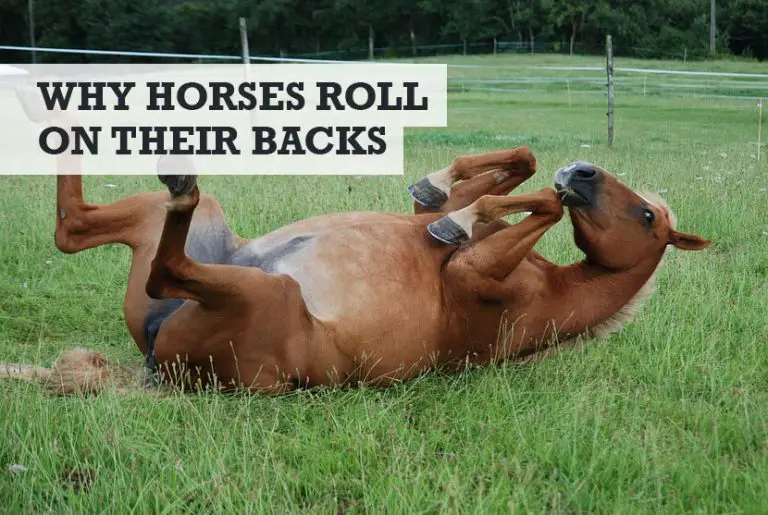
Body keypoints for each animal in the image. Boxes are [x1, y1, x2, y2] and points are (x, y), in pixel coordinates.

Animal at [3, 146, 710, 394]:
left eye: (648, 217)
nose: (583, 172)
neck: (552, 292)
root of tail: (154, 366)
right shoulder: (457, 228)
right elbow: (518, 171)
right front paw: (441, 190)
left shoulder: (472, 278)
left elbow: (537, 202)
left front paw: (459, 221)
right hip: (208, 231)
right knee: (71, 227)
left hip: (263, 292)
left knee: (162, 265)